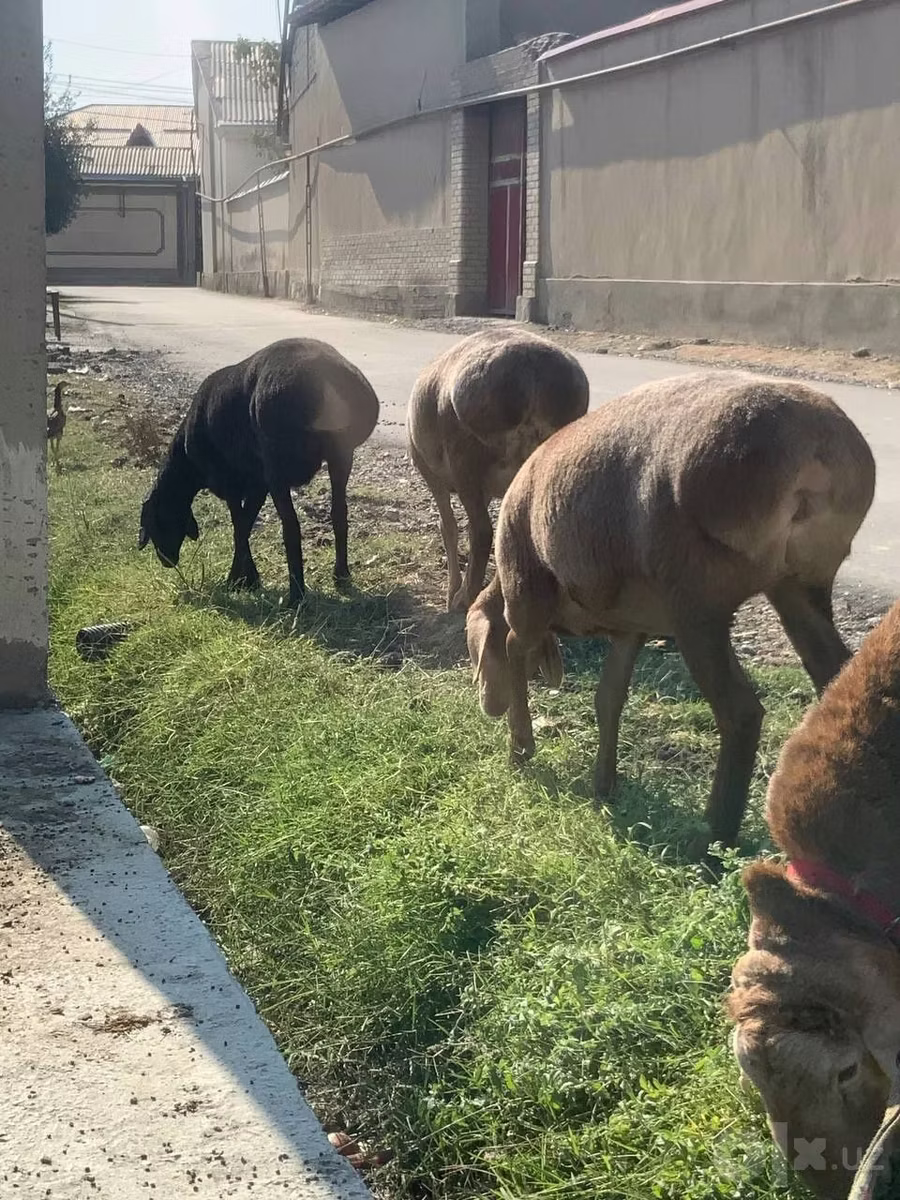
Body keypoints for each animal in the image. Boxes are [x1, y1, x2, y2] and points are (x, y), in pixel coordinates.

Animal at [138, 338, 379, 603]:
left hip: (278, 466)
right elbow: (246, 522)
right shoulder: (257, 484)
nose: (166, 560)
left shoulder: (231, 483)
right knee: (339, 513)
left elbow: (240, 525)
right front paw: (246, 577)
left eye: (157, 520)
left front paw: (239, 579)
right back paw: (341, 574)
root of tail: (326, 380)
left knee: (291, 527)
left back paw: (296, 596)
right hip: (341, 455)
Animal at [407, 329, 589, 611]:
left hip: (466, 457)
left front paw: (451, 593)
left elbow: (448, 527)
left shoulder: (431, 472)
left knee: (483, 531)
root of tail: (533, 376)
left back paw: (465, 598)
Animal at [465, 371, 875, 851]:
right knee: (836, 677)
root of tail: (815, 447)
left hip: (698, 600)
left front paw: (520, 749)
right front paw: (604, 785)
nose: (487, 708)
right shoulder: (630, 627)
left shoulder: (526, 594)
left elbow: (515, 651)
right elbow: (608, 699)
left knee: (741, 712)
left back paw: (712, 840)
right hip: (799, 585)